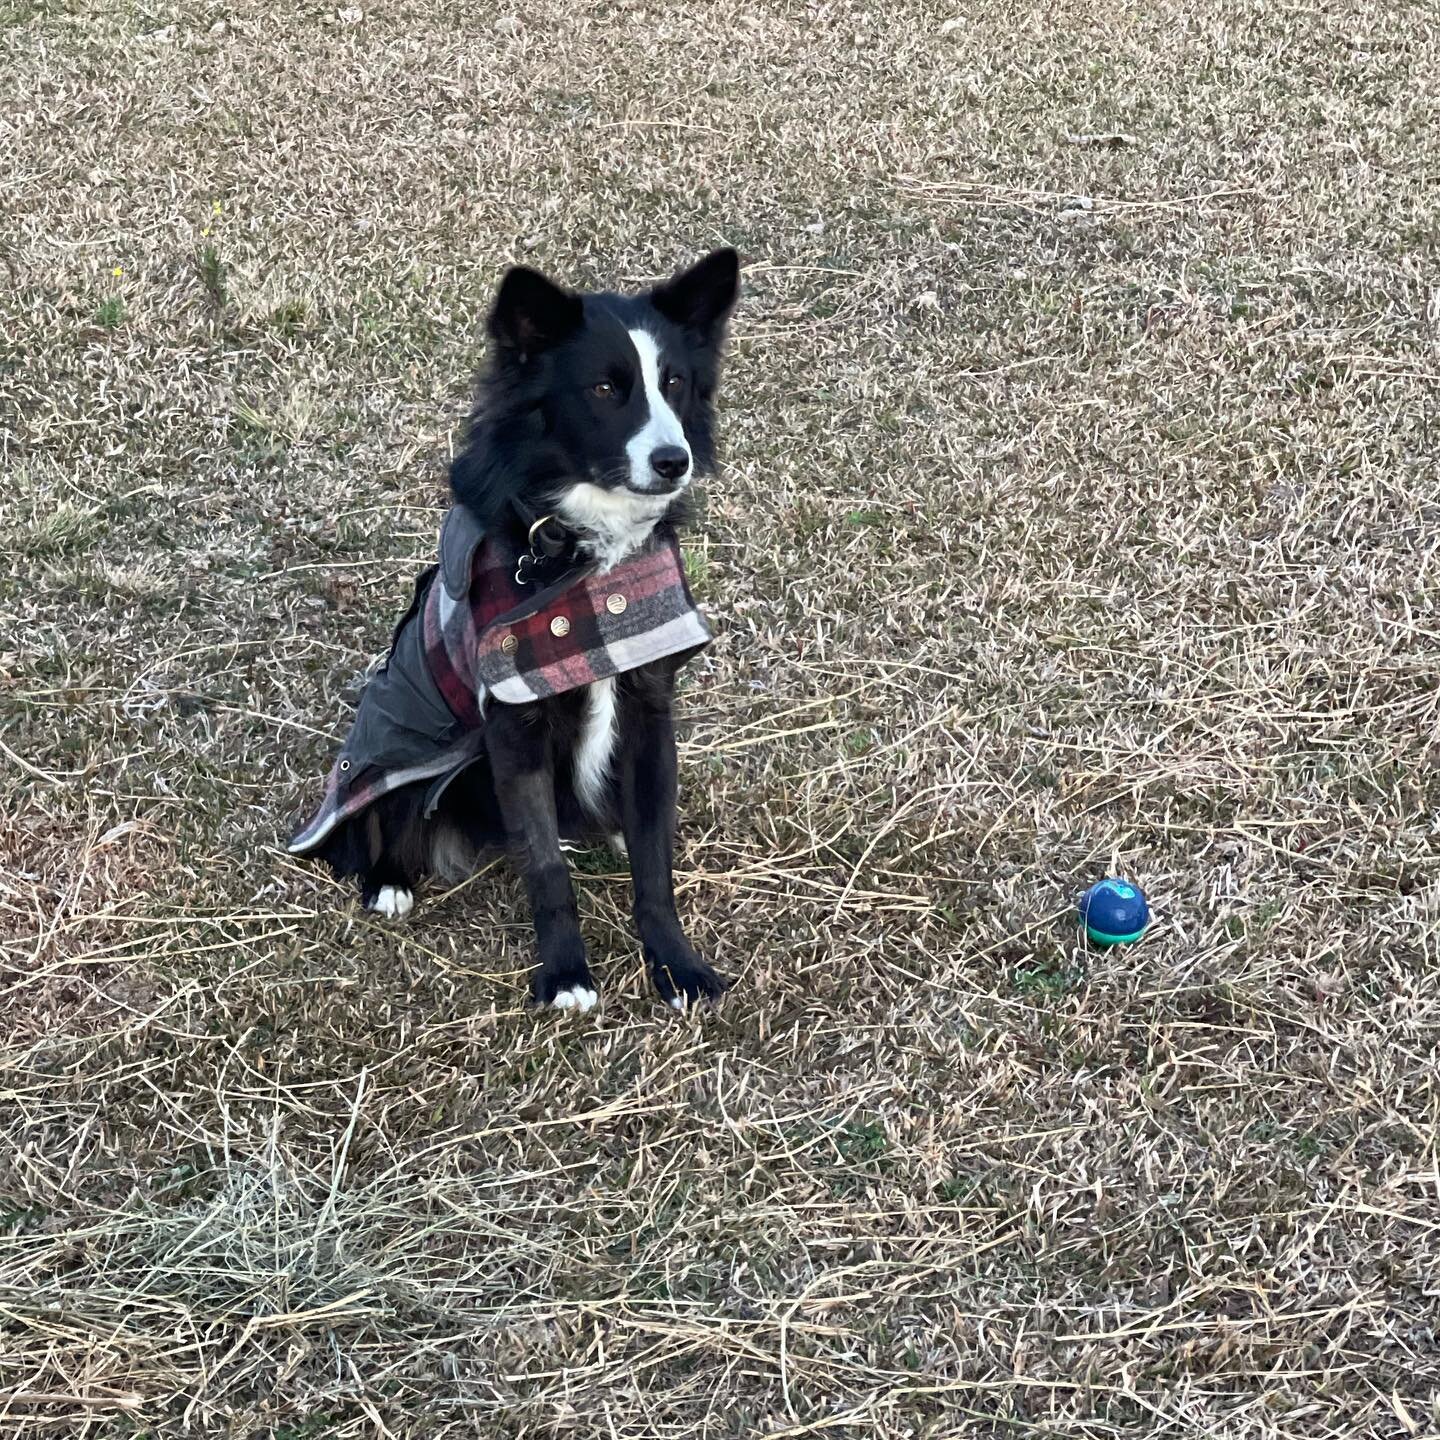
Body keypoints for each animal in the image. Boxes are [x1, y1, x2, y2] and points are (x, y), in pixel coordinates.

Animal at [292, 247, 743, 1013]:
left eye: (675, 382)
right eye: (604, 388)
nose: (673, 460)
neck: (584, 553)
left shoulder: (649, 706)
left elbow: (655, 862)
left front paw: (677, 967)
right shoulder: (514, 726)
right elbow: (546, 868)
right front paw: (565, 976)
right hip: (398, 748)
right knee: (384, 818)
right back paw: (389, 880)